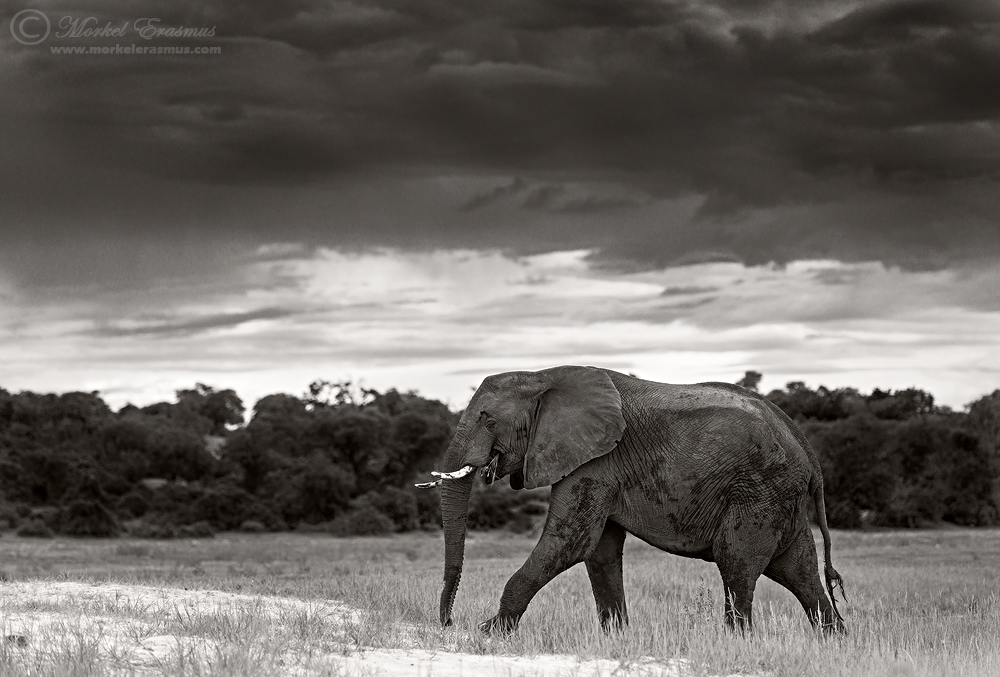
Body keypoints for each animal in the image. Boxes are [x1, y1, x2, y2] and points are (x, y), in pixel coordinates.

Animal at [418, 364, 848, 632]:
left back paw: (737, 642)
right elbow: (599, 551)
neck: (542, 376)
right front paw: (617, 637)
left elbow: (569, 543)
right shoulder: (596, 464)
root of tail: (807, 451)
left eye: (489, 420)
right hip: (780, 499)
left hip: (760, 493)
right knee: (799, 571)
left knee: (738, 566)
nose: (448, 623)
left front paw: (489, 632)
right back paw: (835, 641)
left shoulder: (595, 462)